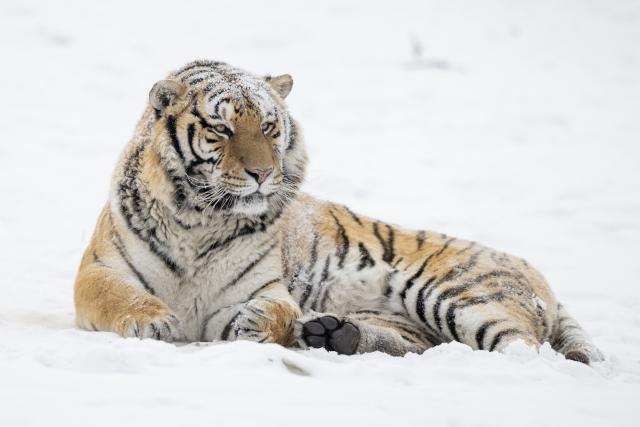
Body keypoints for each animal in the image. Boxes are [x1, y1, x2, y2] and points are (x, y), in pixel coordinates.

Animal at [74, 59, 603, 365]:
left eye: (269, 127)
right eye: (222, 129)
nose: (262, 173)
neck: (199, 219)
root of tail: (531, 270)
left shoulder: (257, 288)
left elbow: (274, 309)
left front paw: (258, 325)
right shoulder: (99, 268)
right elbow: (115, 295)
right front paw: (153, 322)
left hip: (457, 292)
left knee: (522, 346)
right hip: (414, 318)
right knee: (418, 342)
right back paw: (332, 332)